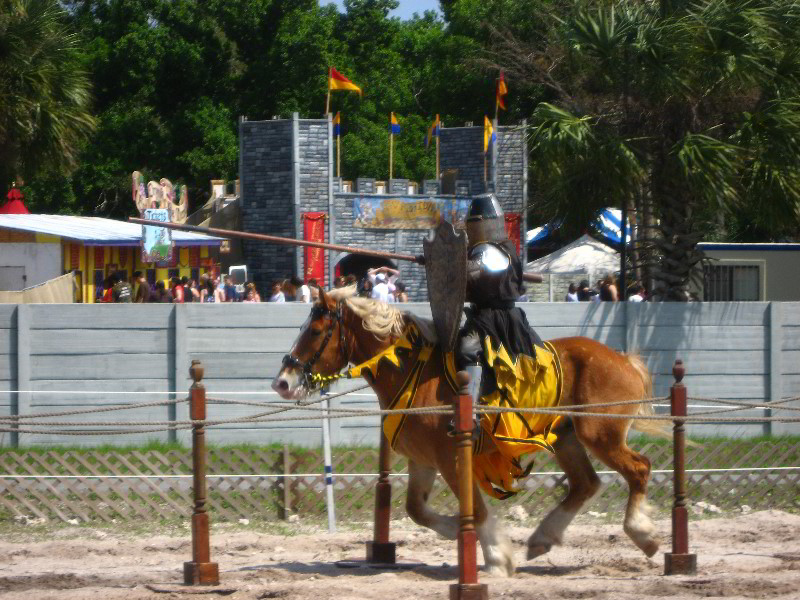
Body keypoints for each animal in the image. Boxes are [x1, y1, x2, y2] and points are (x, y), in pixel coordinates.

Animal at [272, 288, 664, 576]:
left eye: (316, 331)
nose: (282, 382)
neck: (413, 373)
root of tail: (622, 359)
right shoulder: (424, 461)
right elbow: (417, 510)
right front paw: (464, 536)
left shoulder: (452, 459)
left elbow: (474, 508)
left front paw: (496, 557)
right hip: (566, 438)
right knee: (586, 483)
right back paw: (543, 538)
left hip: (600, 436)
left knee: (638, 469)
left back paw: (642, 534)